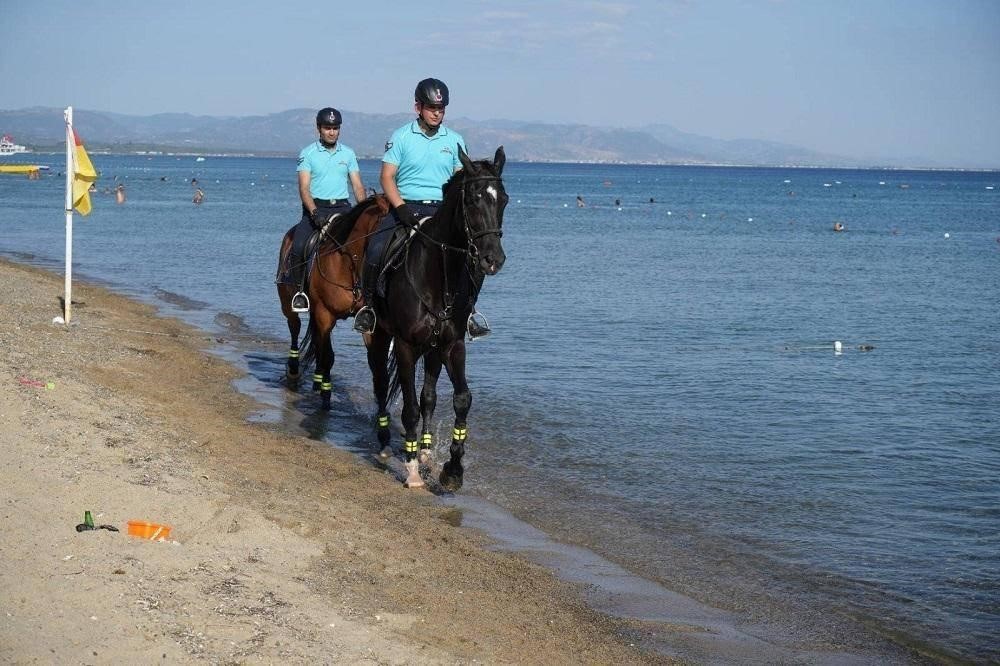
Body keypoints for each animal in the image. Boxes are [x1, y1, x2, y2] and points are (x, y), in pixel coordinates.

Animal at [282, 195, 394, 408]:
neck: (349, 265)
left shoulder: (367, 321)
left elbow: (375, 364)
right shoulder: (325, 314)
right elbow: (329, 356)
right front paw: (326, 394)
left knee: (316, 340)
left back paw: (317, 379)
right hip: (288, 302)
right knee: (294, 328)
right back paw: (294, 370)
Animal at [364, 147, 508, 488]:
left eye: (505, 200)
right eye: (473, 199)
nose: (493, 259)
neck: (438, 275)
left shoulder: (452, 345)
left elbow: (461, 399)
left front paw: (452, 469)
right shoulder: (404, 346)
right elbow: (410, 409)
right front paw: (412, 468)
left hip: (432, 350)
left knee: (428, 395)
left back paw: (427, 453)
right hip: (379, 336)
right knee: (380, 382)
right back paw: (385, 442)